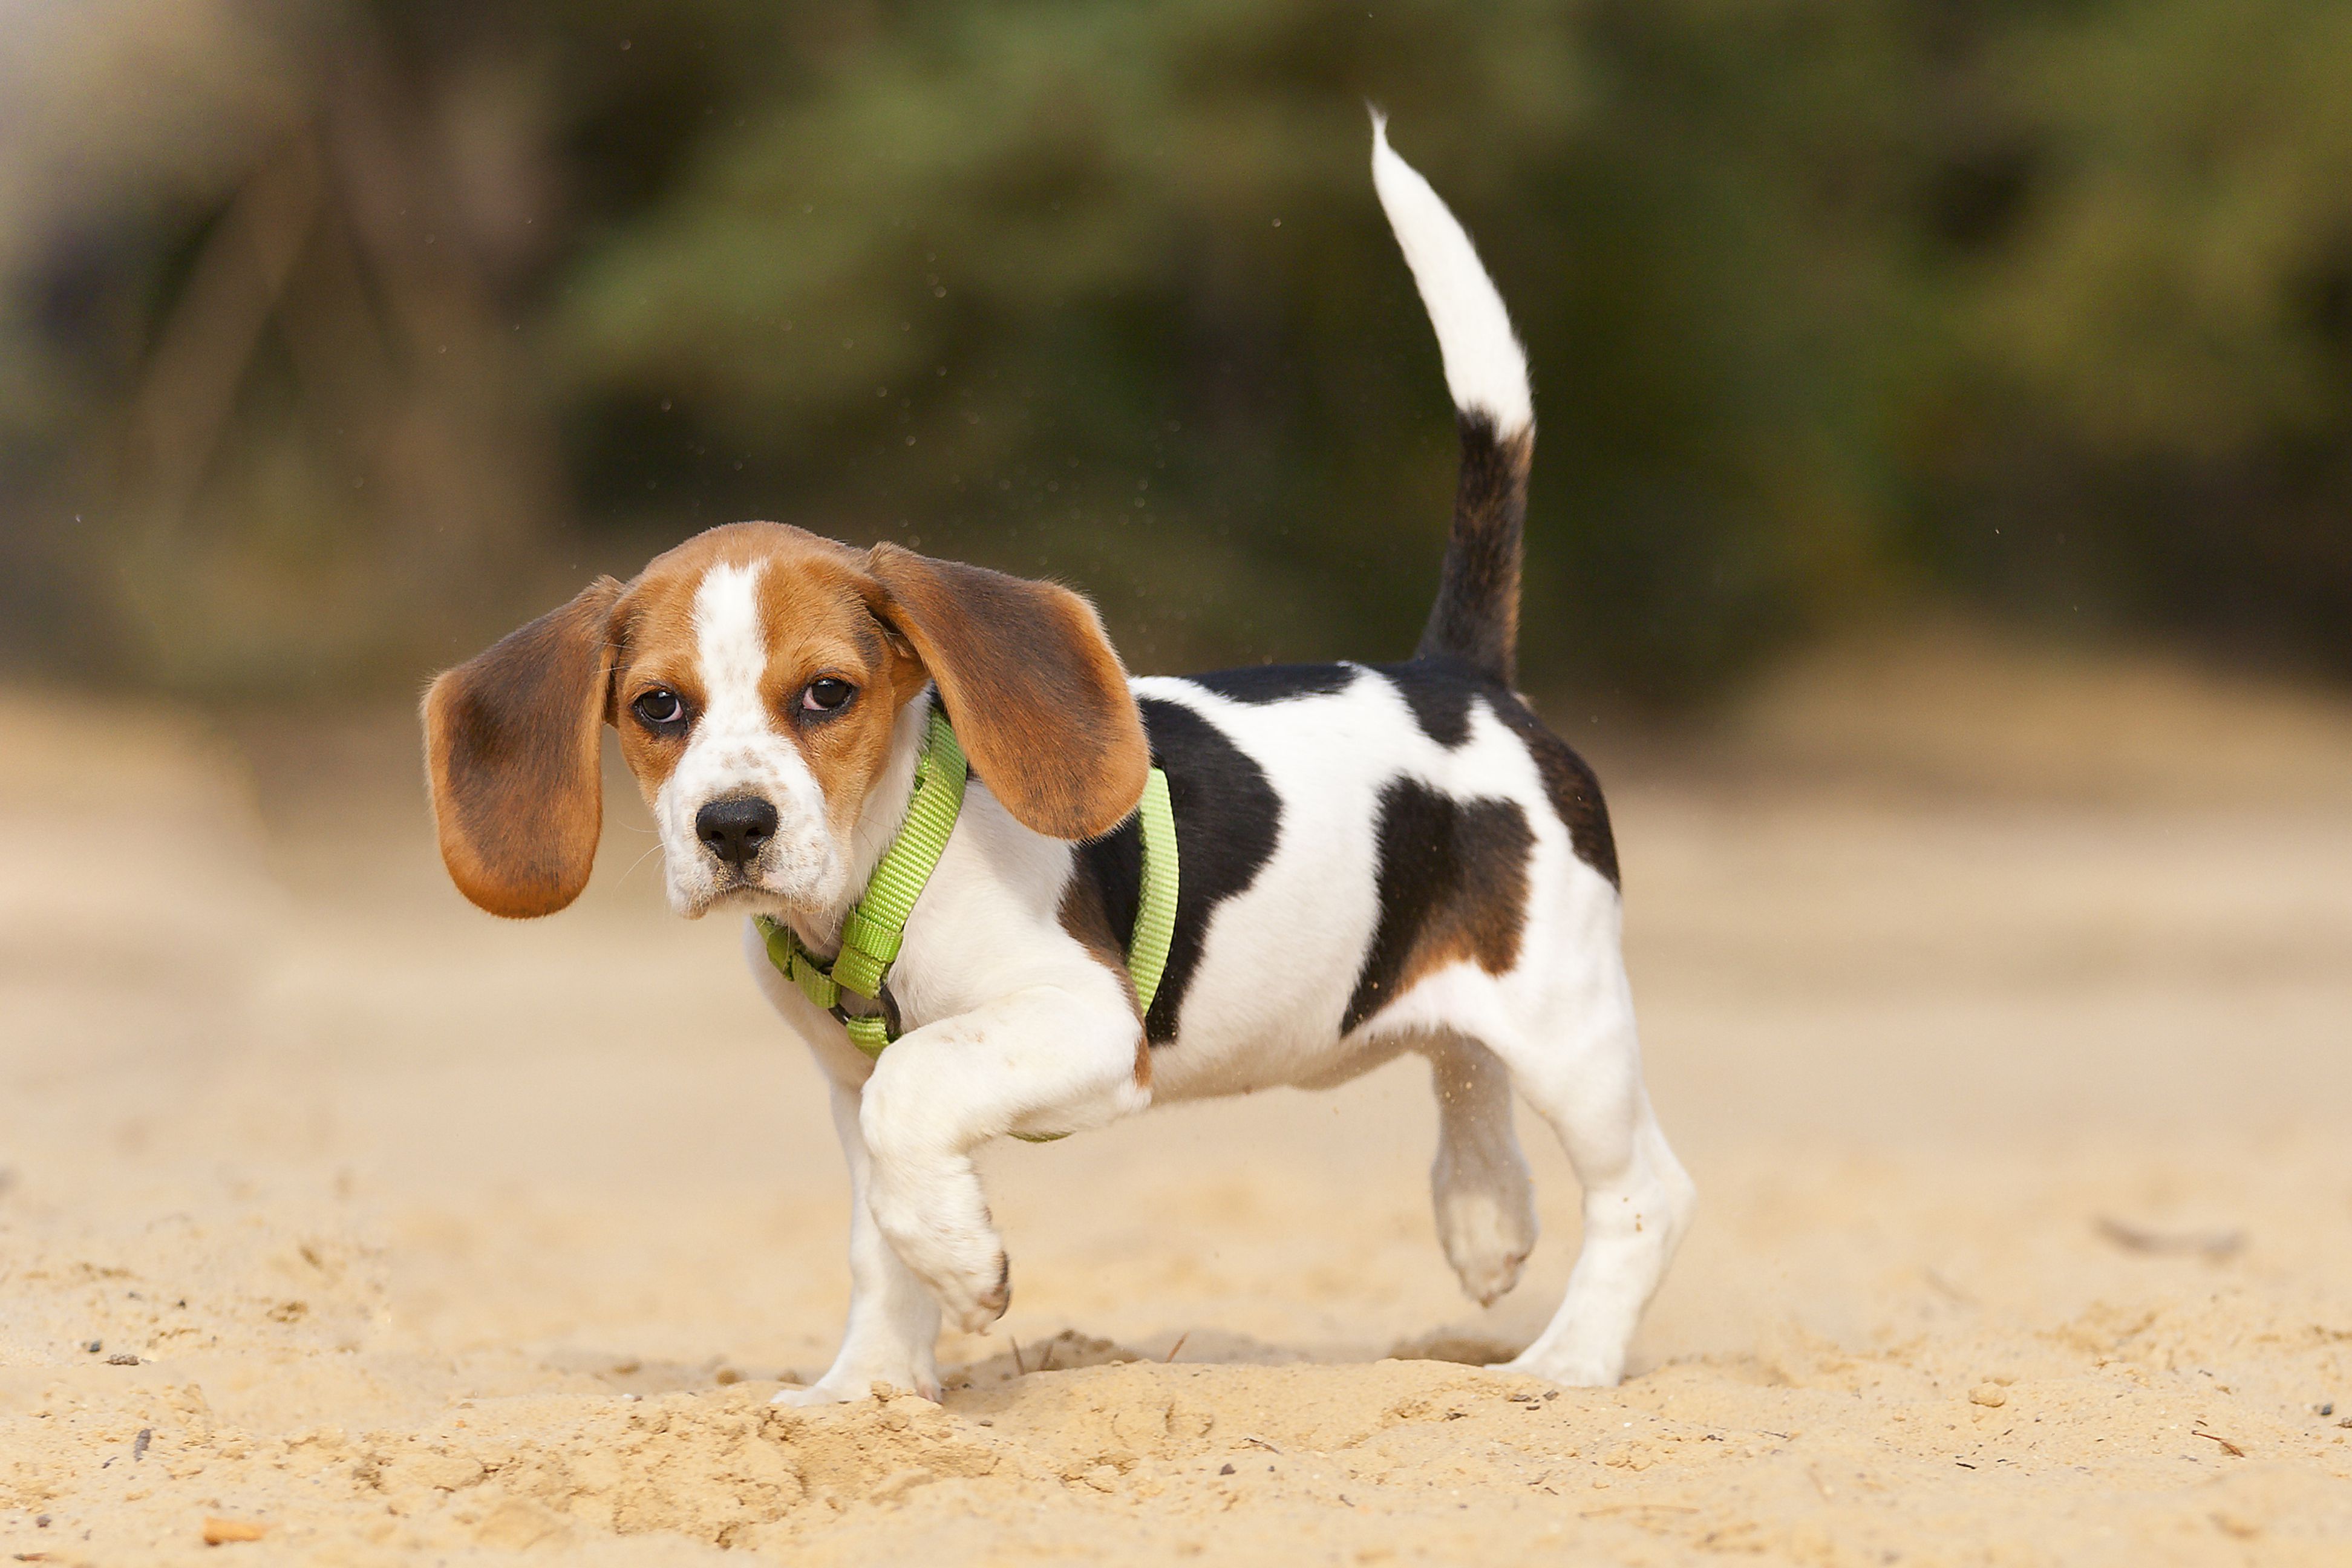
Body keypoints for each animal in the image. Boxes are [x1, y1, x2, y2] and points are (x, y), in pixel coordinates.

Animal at [428, 120, 1693, 1401]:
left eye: (828, 694)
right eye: (658, 707)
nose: (731, 826)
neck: (880, 877)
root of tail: (1460, 676)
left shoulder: (1080, 1027)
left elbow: (914, 1093)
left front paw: (963, 1264)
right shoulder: (842, 1082)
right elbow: (878, 1226)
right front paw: (869, 1386)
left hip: (1568, 1020)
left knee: (1644, 1192)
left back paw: (1566, 1358)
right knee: (1463, 1064)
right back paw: (1485, 1216)